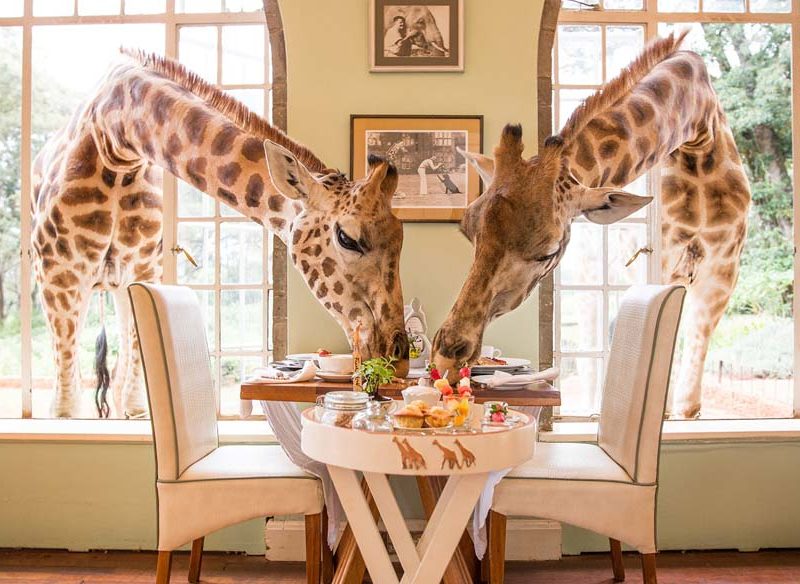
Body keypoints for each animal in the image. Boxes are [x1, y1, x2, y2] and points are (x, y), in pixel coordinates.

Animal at [32, 49, 409, 419]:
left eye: (401, 240)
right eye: (347, 239)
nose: (399, 358)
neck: (116, 139)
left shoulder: (143, 271)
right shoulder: (58, 276)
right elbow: (64, 409)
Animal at [432, 32, 750, 419]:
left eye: (549, 251)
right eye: (468, 232)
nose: (446, 357)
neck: (698, 132)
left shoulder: (720, 273)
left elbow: (688, 398)